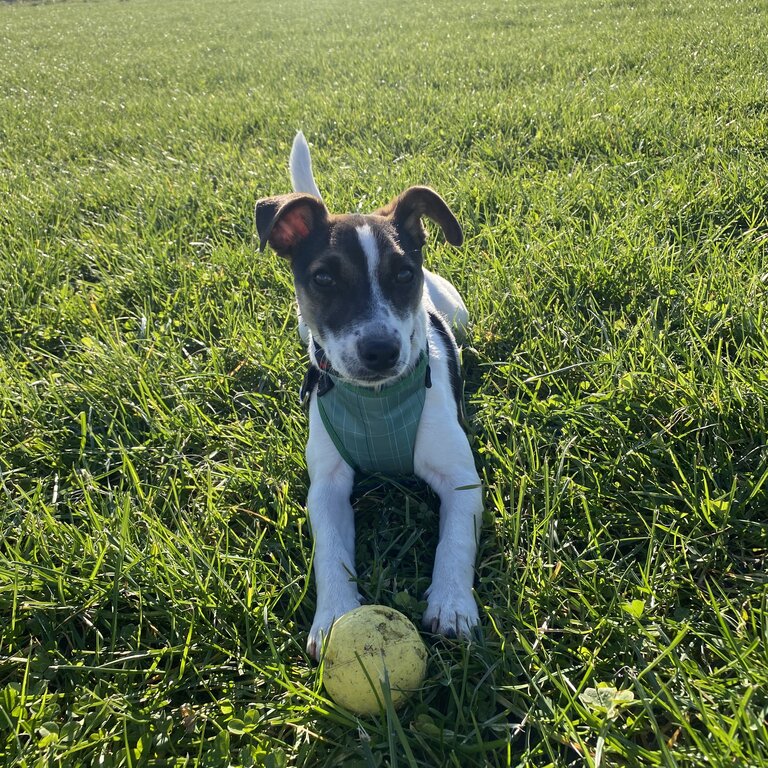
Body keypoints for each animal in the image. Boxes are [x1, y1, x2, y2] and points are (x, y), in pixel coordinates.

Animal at [255, 134, 484, 660]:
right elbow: (331, 551)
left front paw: (452, 603)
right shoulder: (327, 486)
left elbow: (454, 543)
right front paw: (335, 616)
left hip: (459, 312)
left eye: (404, 274)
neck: (376, 399)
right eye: (323, 278)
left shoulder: (461, 480)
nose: (381, 351)